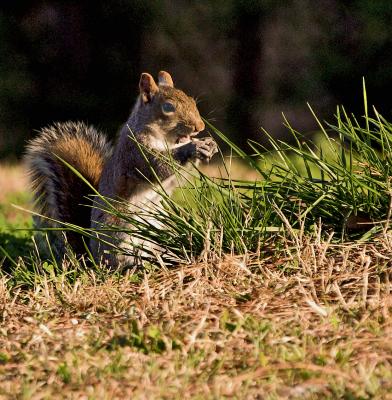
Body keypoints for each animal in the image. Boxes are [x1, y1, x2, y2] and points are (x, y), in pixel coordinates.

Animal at [24, 72, 219, 266]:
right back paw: (136, 265)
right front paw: (192, 148)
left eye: (192, 101)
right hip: (121, 234)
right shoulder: (134, 152)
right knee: (119, 261)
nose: (200, 127)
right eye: (169, 107)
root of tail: (91, 256)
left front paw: (208, 144)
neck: (165, 139)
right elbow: (157, 166)